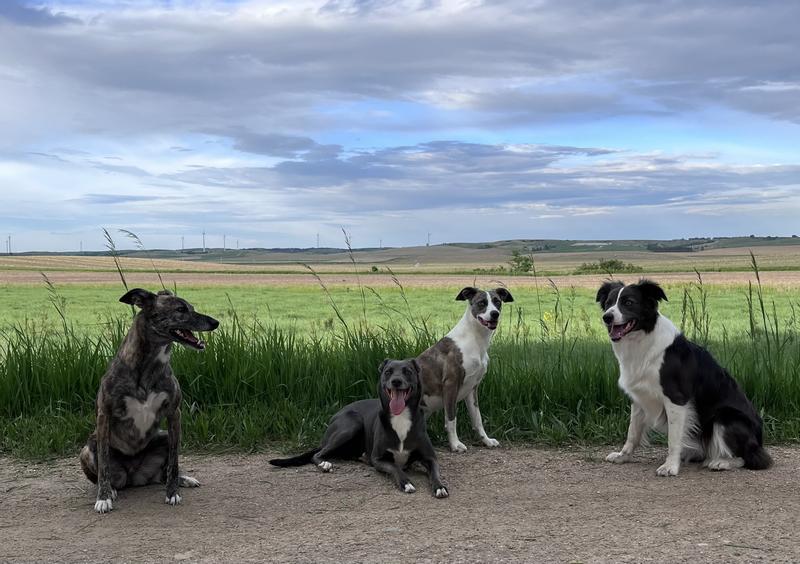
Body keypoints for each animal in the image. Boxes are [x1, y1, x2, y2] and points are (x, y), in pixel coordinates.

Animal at [79, 288, 217, 512]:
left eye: (191, 307)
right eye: (180, 309)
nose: (215, 323)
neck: (148, 365)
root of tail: (134, 476)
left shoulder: (174, 414)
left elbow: (174, 462)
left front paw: (172, 493)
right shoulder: (104, 415)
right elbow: (104, 464)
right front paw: (103, 498)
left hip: (164, 437)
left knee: (166, 469)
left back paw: (183, 479)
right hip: (87, 449)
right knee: (102, 471)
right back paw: (111, 489)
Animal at [270, 356, 450, 498]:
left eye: (407, 371)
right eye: (388, 372)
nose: (396, 381)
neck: (400, 417)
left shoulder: (430, 457)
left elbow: (435, 472)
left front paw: (440, 486)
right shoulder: (378, 459)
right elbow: (395, 468)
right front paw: (406, 482)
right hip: (351, 424)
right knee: (317, 454)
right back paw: (324, 464)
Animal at [416, 286, 516, 454]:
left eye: (497, 302)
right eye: (482, 303)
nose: (495, 314)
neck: (475, 339)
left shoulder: (472, 388)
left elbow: (477, 419)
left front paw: (486, 441)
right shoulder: (451, 385)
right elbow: (451, 419)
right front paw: (455, 444)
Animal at [596, 278, 772, 476]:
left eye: (628, 302)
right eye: (608, 303)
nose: (607, 317)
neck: (642, 339)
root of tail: (760, 438)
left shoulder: (676, 399)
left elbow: (673, 439)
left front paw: (670, 466)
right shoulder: (640, 397)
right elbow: (632, 432)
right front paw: (622, 456)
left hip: (725, 418)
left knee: (752, 458)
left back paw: (721, 462)